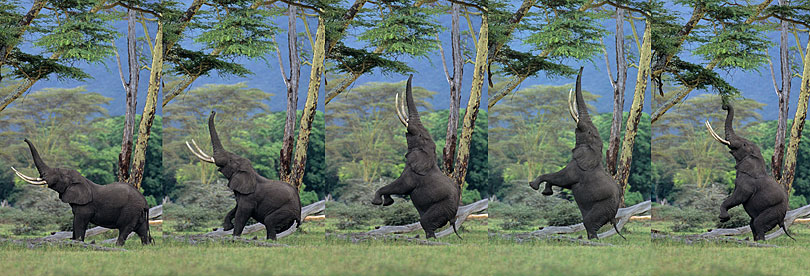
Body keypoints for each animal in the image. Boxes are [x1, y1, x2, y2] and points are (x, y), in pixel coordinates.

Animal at [11, 139, 152, 245]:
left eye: (59, 175)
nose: (24, 139)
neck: (81, 179)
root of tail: (145, 202)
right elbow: (75, 222)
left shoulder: (85, 206)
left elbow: (79, 222)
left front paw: (78, 243)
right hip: (138, 213)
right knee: (142, 230)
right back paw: (146, 246)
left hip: (131, 210)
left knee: (125, 229)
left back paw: (117, 246)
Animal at [185, 111, 302, 240]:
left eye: (231, 160)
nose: (213, 111)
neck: (250, 172)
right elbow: (235, 208)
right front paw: (227, 227)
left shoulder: (250, 197)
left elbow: (242, 213)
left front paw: (235, 237)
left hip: (287, 211)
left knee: (269, 221)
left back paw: (271, 240)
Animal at [368, 74, 458, 238]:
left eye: (420, 135)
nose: (411, 74)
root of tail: (454, 217)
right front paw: (387, 201)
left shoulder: (413, 174)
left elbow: (402, 186)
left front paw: (378, 202)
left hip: (443, 207)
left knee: (426, 223)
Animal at [528, 67, 620, 239]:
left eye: (589, 132)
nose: (582, 67)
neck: (595, 151)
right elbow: (562, 181)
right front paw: (546, 191)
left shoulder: (577, 169)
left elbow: (562, 178)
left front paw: (534, 186)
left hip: (603, 206)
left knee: (589, 224)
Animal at [704, 104, 792, 240]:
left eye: (744, 144)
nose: (724, 106)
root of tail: (783, 220)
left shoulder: (747, 183)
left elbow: (739, 196)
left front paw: (723, 218)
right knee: (752, 224)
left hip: (774, 210)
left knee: (758, 223)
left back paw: (760, 242)